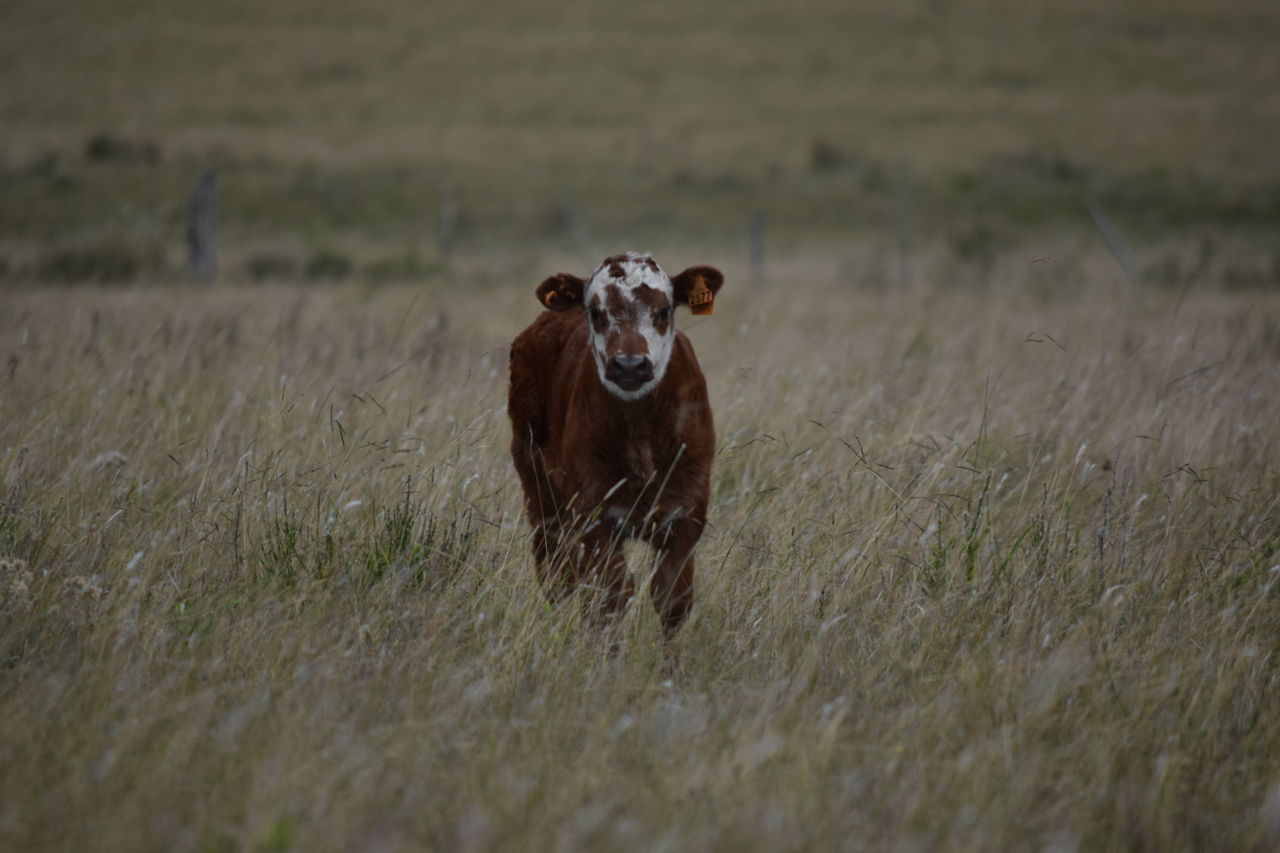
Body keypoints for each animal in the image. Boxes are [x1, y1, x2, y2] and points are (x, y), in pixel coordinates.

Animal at [512, 249, 732, 635]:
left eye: (663, 311)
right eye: (596, 312)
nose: (629, 364)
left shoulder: (687, 511)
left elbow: (673, 598)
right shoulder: (594, 512)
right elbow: (612, 596)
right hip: (539, 491)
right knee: (557, 575)